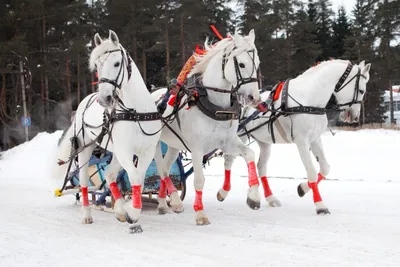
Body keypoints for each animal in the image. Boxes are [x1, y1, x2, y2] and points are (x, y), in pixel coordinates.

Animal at [53, 30, 162, 232]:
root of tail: (84, 101)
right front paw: (133, 214)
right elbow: (135, 176)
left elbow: (140, 179)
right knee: (83, 181)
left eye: (117, 63)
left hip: (116, 152)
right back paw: (87, 215)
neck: (136, 112)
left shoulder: (146, 151)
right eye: (97, 65)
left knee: (110, 175)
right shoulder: (125, 150)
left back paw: (119, 210)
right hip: (86, 148)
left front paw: (130, 212)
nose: (104, 99)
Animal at [150, 29, 262, 226]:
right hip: (154, 143)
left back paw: (164, 204)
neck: (216, 106)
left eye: (257, 64)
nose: (254, 98)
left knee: (167, 168)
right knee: (162, 169)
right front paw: (200, 213)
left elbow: (249, 154)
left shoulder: (227, 141)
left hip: (173, 145)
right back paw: (176, 201)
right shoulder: (197, 148)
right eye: (241, 64)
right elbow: (199, 180)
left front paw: (253, 196)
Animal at [220, 59, 370, 215]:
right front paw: (320, 205)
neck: (309, 99)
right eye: (361, 91)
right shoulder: (302, 142)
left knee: (261, 167)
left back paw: (270, 197)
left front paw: (302, 188)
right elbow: (311, 172)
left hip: (264, 141)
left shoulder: (315, 139)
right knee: (229, 160)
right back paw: (225, 192)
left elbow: (325, 168)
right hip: (238, 137)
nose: (354, 117)